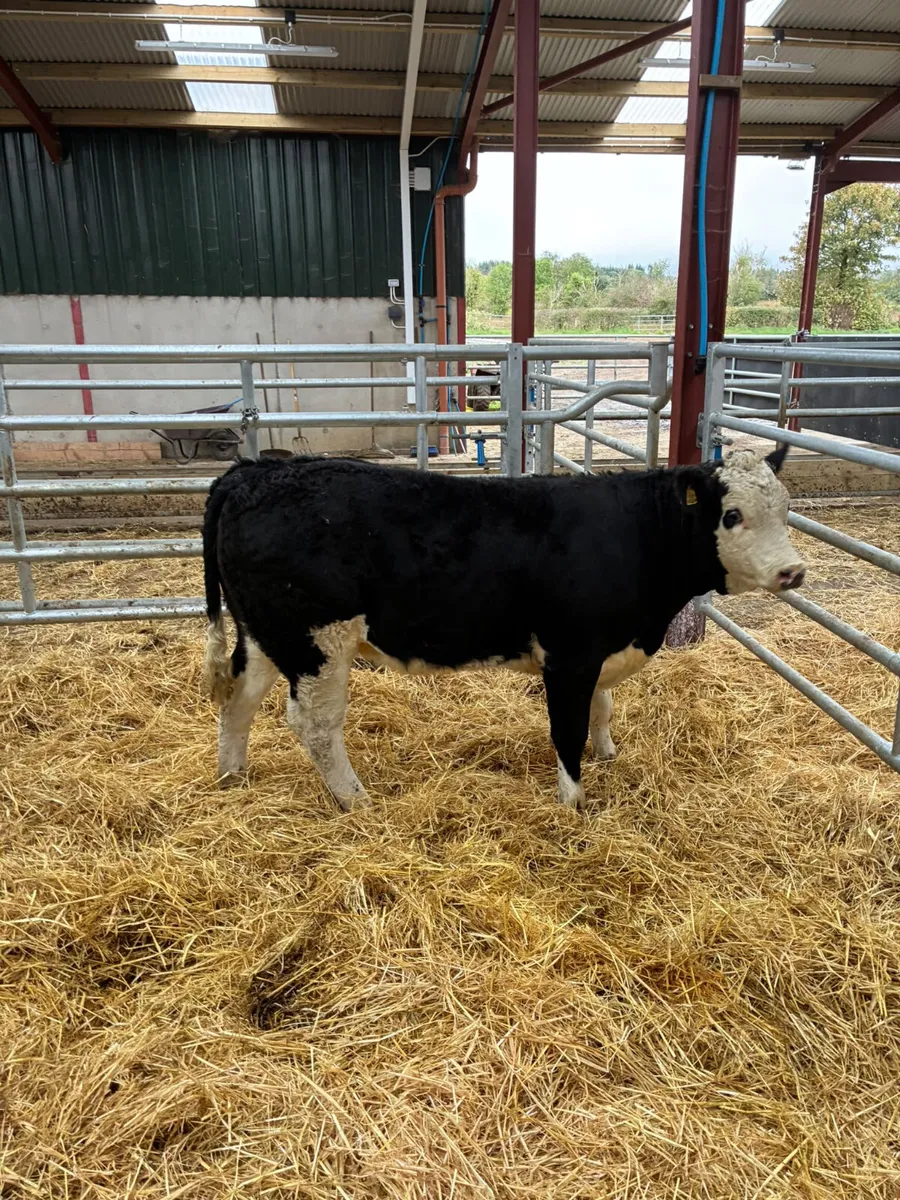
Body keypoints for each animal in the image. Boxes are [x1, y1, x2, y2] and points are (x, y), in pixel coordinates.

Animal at [201, 447, 805, 811]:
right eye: (732, 515)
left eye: (786, 509)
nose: (792, 571)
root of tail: (256, 470)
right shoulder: (569, 656)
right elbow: (568, 729)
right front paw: (573, 803)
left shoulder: (600, 653)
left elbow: (603, 709)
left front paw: (608, 752)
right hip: (318, 642)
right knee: (315, 725)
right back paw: (356, 799)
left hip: (265, 634)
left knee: (238, 698)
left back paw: (232, 777)